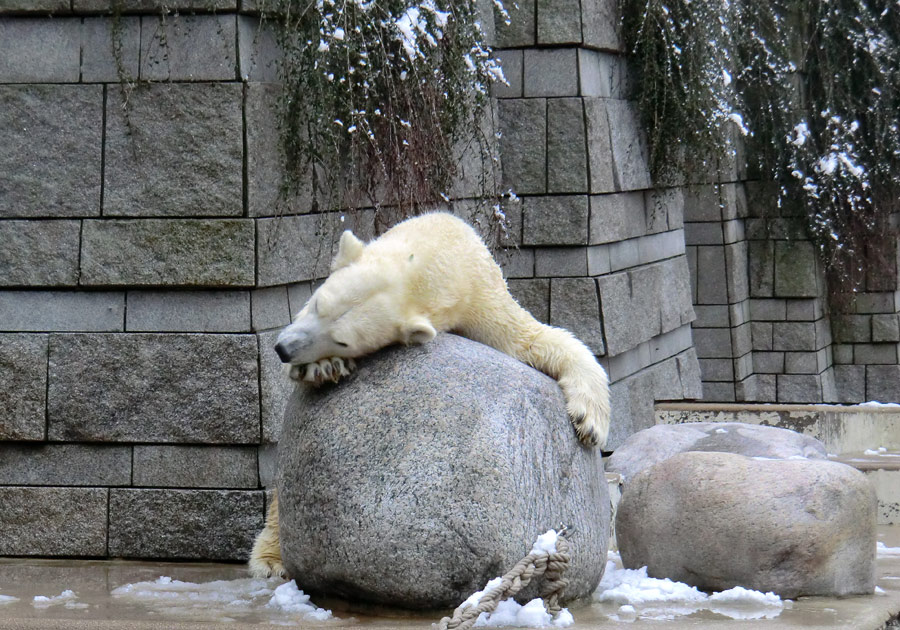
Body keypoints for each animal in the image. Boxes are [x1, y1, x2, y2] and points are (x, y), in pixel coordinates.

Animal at [250, 214, 608, 584]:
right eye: (318, 303)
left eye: (343, 340)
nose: (283, 349)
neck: (434, 252)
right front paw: (322, 367)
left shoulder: (479, 293)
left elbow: (531, 339)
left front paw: (589, 422)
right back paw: (271, 559)